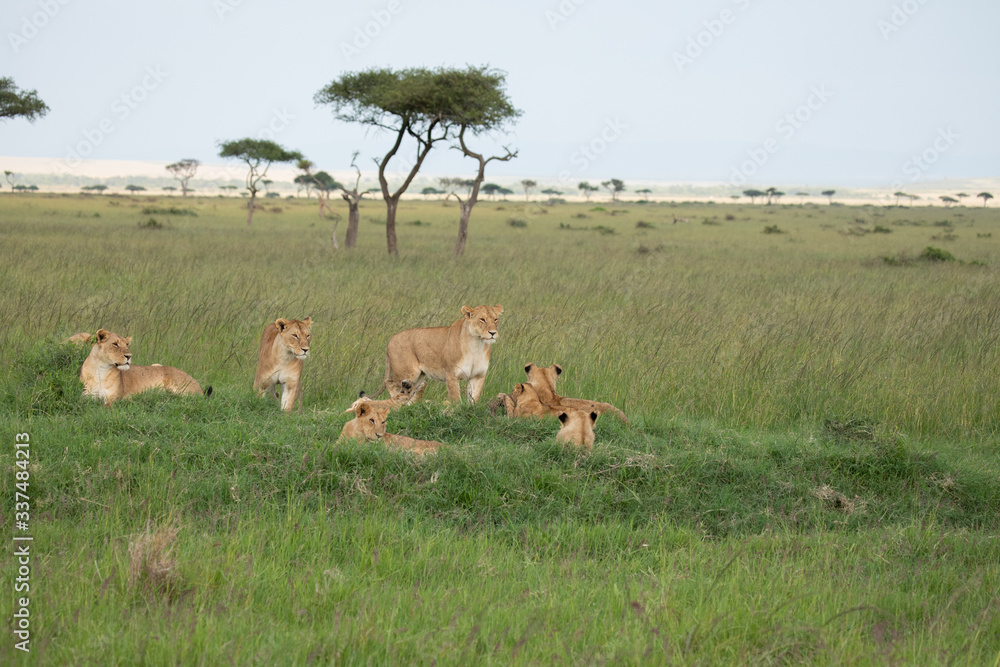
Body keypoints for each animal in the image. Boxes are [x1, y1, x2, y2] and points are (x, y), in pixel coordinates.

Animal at [80, 329, 208, 406]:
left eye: (127, 344)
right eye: (115, 344)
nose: (129, 356)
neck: (101, 368)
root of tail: (198, 385)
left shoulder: (113, 399)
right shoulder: (85, 395)